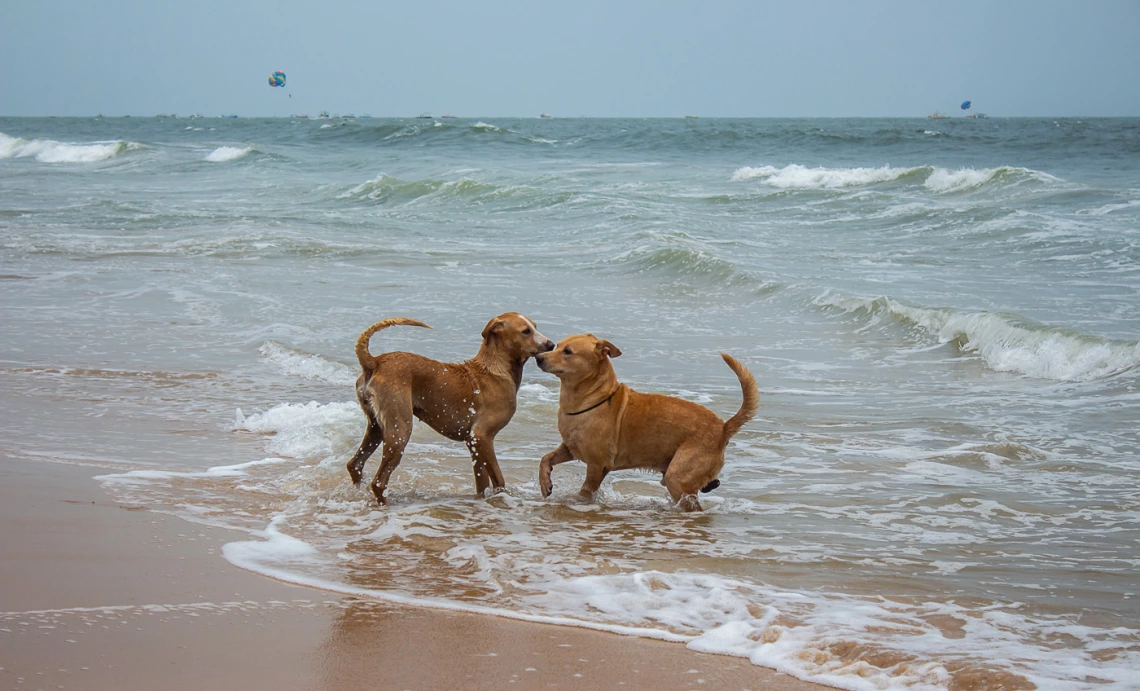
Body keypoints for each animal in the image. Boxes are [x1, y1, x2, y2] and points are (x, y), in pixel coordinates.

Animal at [351, 314, 556, 503]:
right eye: (526, 331)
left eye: (535, 327)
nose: (551, 345)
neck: (496, 369)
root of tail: (375, 361)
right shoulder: (481, 437)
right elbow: (499, 481)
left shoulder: (474, 444)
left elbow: (482, 485)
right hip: (400, 430)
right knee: (378, 482)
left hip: (376, 427)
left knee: (355, 465)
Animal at [533, 335, 756, 515]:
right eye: (557, 346)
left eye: (568, 352)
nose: (539, 357)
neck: (591, 399)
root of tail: (722, 428)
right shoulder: (570, 448)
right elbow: (546, 458)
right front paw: (545, 483)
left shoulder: (597, 465)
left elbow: (586, 491)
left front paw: (577, 502)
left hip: (678, 476)